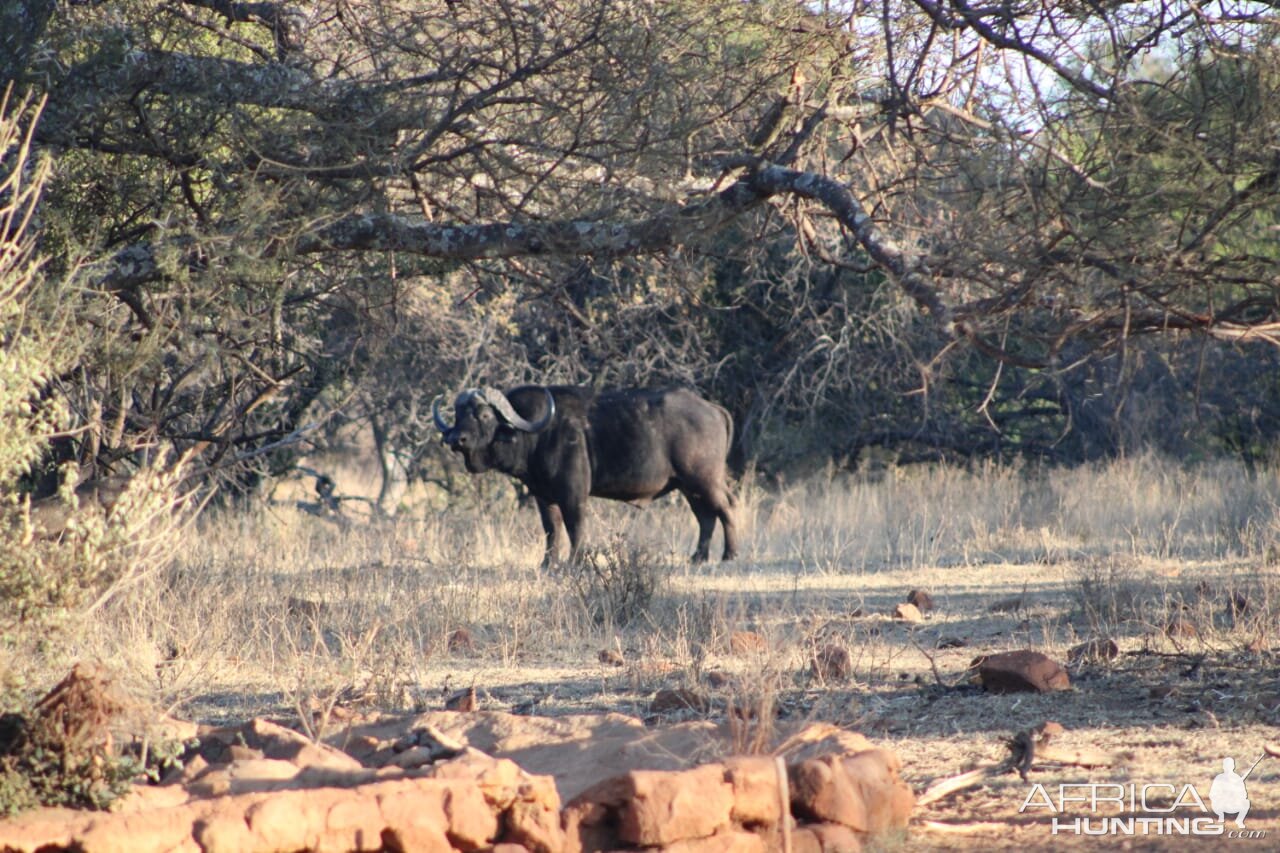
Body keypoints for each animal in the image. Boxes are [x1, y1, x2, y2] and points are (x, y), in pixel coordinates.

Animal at [435, 381, 737, 560]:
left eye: (484, 415)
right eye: (458, 415)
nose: (456, 439)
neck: (538, 434)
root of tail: (712, 408)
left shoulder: (574, 494)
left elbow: (575, 527)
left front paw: (575, 562)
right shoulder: (543, 497)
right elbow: (552, 529)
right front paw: (548, 564)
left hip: (704, 480)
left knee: (725, 509)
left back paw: (729, 555)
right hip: (689, 487)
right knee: (705, 517)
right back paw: (698, 557)